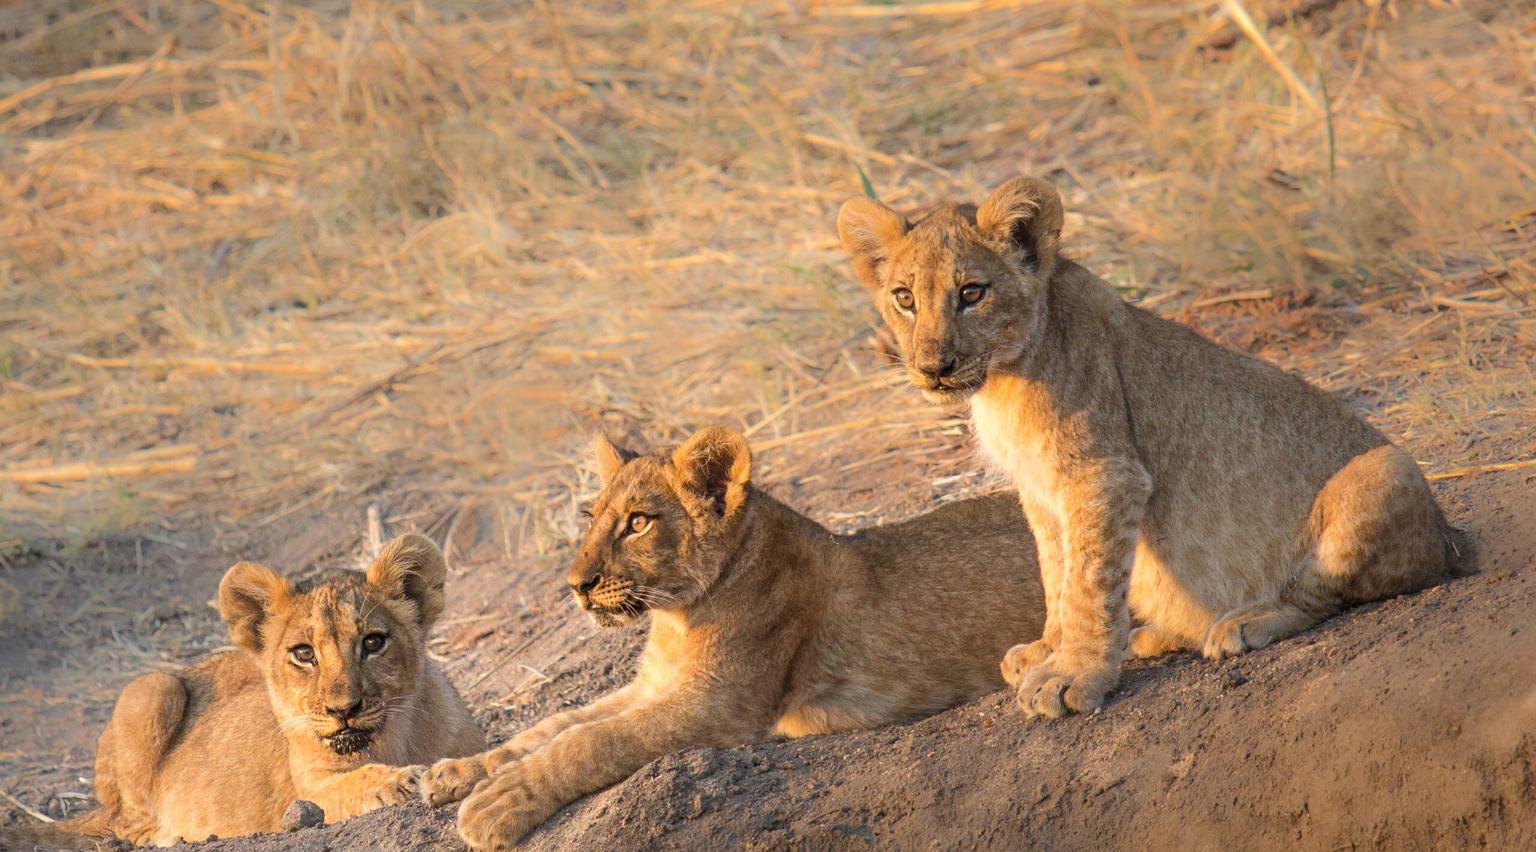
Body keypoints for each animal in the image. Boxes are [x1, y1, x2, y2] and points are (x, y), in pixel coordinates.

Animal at [58, 533, 484, 845]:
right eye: (303, 653)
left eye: (373, 642)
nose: (343, 710)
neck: (394, 741)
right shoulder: (309, 787)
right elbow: (349, 786)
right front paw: (399, 781)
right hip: (151, 687)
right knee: (128, 824)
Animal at [415, 426, 1045, 850]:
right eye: (592, 517)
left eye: (638, 522)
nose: (577, 586)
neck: (676, 617)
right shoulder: (651, 686)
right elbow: (552, 725)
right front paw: (458, 771)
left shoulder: (720, 707)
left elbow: (594, 740)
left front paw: (497, 803)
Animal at [837, 176, 1469, 720]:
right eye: (904, 298)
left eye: (972, 292)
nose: (934, 367)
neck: (1001, 380)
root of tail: (1449, 539)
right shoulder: (1040, 490)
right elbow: (1056, 571)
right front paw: (1047, 649)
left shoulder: (1104, 474)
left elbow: (1089, 580)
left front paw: (1072, 675)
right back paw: (1155, 634)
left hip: (1386, 468)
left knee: (1324, 593)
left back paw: (1243, 622)